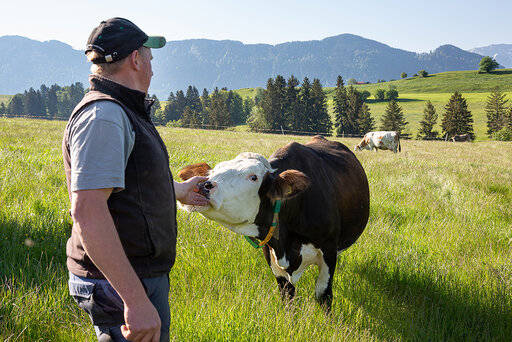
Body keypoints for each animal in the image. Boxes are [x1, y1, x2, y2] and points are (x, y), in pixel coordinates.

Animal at [179, 136, 368, 310]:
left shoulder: (328, 251)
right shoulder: (270, 252)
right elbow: (287, 295)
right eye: (212, 172)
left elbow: (323, 295)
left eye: (253, 177)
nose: (202, 186)